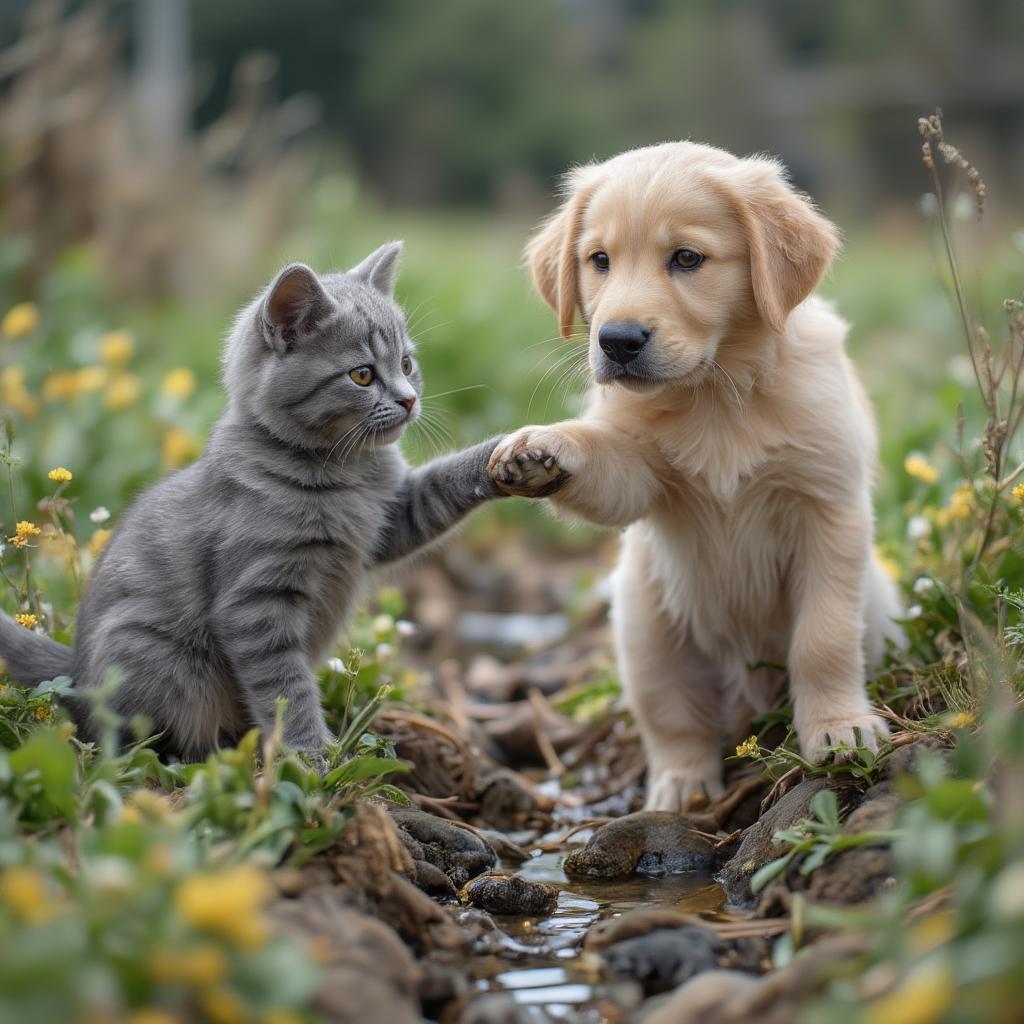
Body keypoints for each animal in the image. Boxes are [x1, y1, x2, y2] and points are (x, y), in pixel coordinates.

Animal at [0, 243, 509, 761]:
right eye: (363, 374)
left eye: (406, 365)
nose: (408, 400)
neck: (346, 474)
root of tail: (76, 673)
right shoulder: (255, 602)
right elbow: (285, 684)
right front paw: (311, 757)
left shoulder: (390, 518)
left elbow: (437, 491)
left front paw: (510, 455)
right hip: (154, 659)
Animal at [491, 142, 901, 806]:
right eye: (599, 260)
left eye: (686, 259)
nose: (616, 341)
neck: (716, 393)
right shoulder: (644, 477)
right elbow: (608, 465)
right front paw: (545, 447)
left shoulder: (827, 508)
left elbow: (823, 641)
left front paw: (839, 729)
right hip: (644, 626)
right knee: (676, 722)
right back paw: (683, 785)